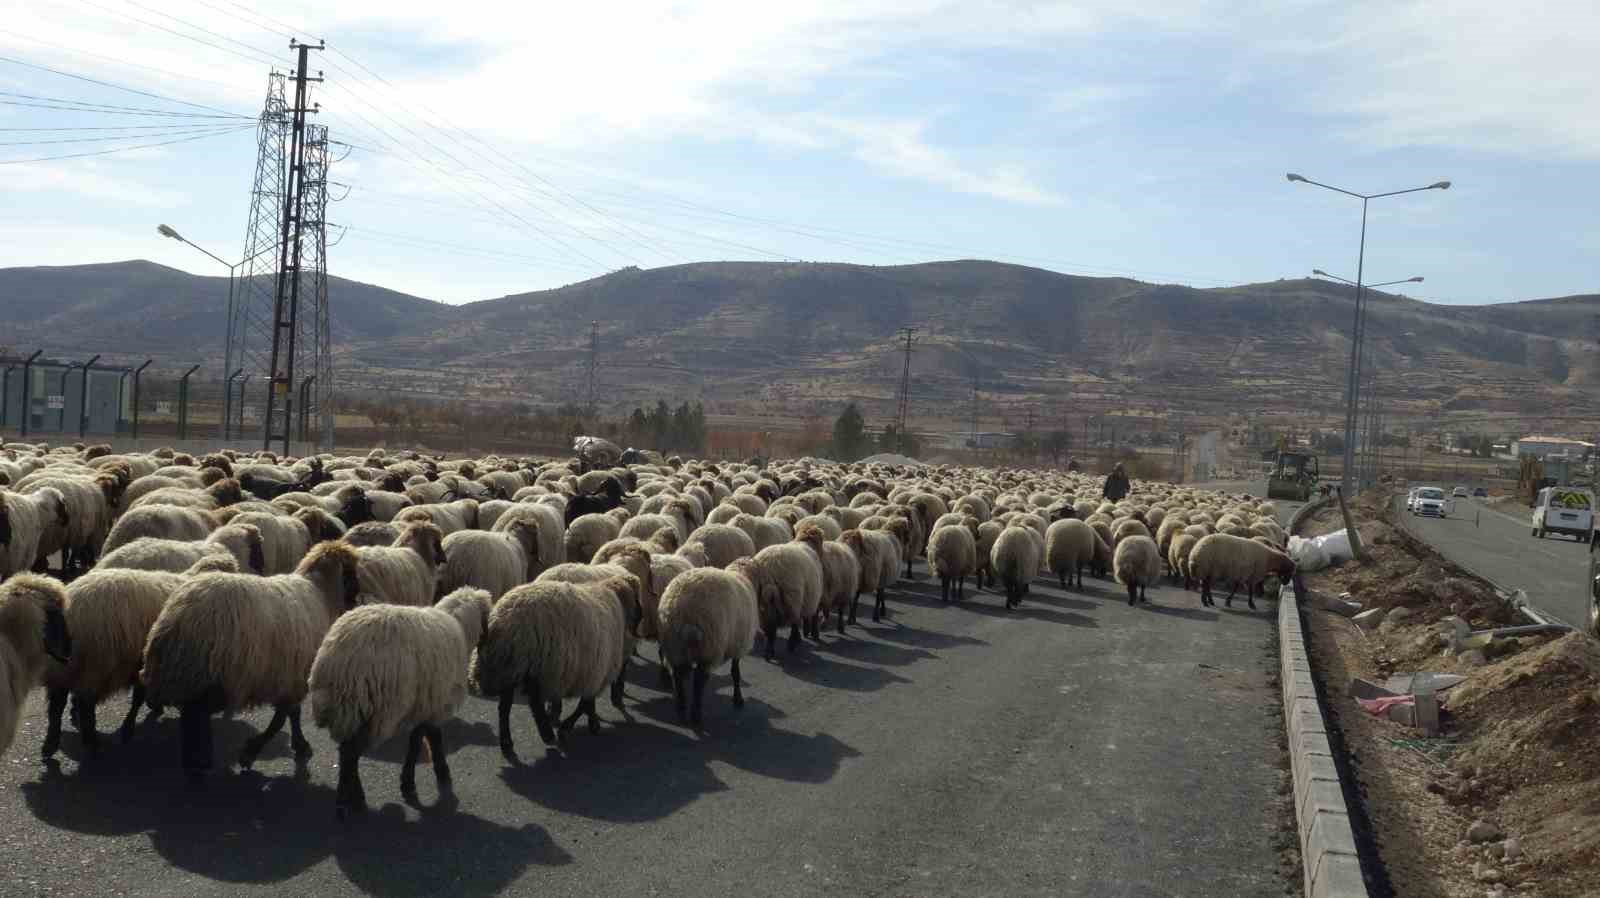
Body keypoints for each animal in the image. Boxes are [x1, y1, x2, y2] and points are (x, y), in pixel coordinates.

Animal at [308, 585, 489, 816]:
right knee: (350, 754)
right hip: (373, 707)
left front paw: (417, 779)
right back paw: (350, 801)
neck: (459, 628)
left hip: (351, 709)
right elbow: (424, 741)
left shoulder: (425, 704)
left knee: (346, 753)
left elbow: (425, 738)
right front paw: (426, 778)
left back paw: (350, 796)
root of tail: (335, 660)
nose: (487, 645)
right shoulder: (432, 703)